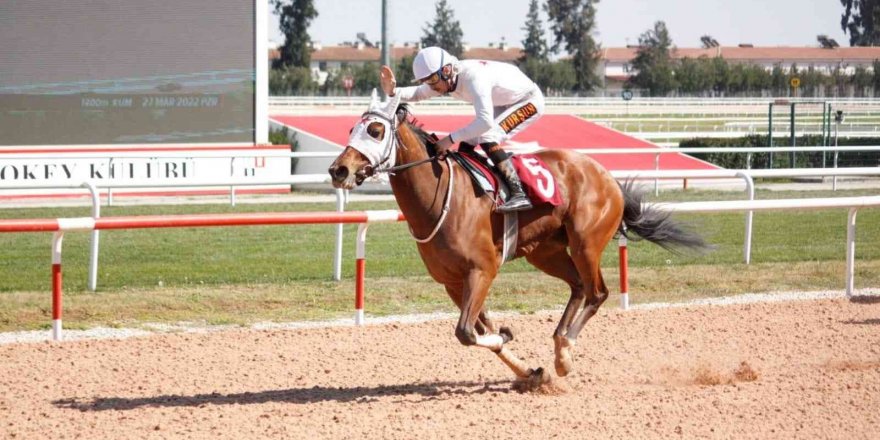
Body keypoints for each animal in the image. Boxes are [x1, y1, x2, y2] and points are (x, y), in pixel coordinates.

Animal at [326, 93, 704, 384]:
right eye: (351, 129)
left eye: (376, 130)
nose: (338, 170)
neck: (440, 196)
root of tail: (607, 176)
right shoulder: (453, 281)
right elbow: (480, 330)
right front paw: (529, 370)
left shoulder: (482, 270)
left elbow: (466, 332)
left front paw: (515, 345)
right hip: (546, 252)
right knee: (578, 287)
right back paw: (558, 346)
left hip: (586, 242)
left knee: (597, 292)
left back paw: (565, 354)